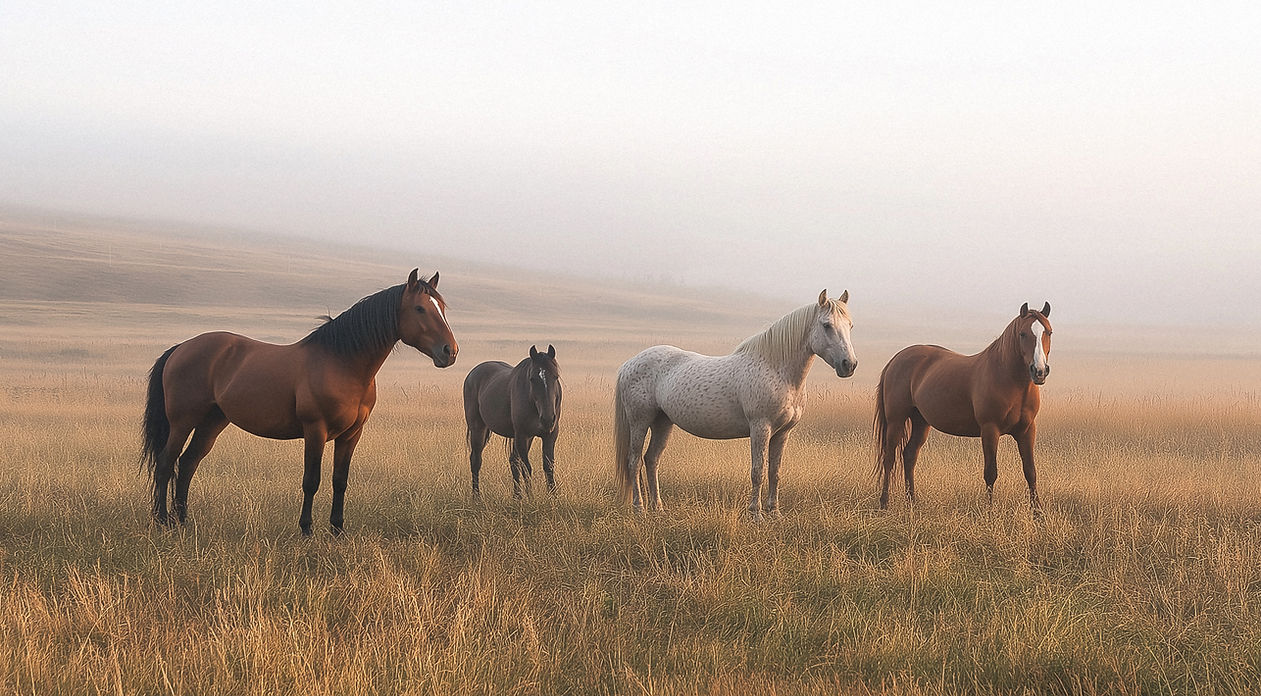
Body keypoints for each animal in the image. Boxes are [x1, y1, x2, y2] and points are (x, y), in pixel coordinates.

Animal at [140, 269, 457, 536]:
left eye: (441, 308)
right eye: (420, 308)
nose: (450, 351)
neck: (341, 364)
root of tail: (181, 347)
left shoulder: (352, 435)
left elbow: (340, 481)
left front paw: (338, 530)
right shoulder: (315, 431)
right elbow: (311, 480)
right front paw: (306, 529)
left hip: (212, 422)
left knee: (188, 462)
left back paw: (183, 520)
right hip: (183, 421)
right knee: (167, 463)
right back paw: (162, 520)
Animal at [462, 344, 562, 499]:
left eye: (555, 376)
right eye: (532, 379)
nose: (547, 419)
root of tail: (472, 374)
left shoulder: (550, 435)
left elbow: (548, 466)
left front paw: (552, 497)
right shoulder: (522, 435)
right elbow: (526, 467)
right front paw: (531, 497)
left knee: (513, 461)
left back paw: (517, 496)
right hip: (478, 428)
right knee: (476, 460)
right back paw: (476, 496)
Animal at [614, 290, 858, 519]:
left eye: (850, 325)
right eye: (826, 325)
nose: (849, 365)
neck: (777, 370)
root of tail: (628, 364)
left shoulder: (782, 433)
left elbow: (775, 472)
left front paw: (775, 512)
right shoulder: (760, 428)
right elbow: (758, 471)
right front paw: (756, 514)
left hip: (663, 422)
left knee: (652, 459)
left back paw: (658, 508)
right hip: (640, 421)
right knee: (634, 461)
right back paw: (639, 508)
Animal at [873, 302, 1053, 515]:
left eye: (1049, 332)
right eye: (1023, 334)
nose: (1039, 371)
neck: (1009, 379)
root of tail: (896, 359)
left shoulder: (1027, 430)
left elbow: (1030, 471)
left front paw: (1038, 514)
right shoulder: (990, 429)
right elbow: (990, 472)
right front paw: (989, 513)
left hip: (921, 422)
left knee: (909, 455)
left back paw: (912, 504)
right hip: (896, 421)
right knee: (889, 459)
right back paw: (884, 504)